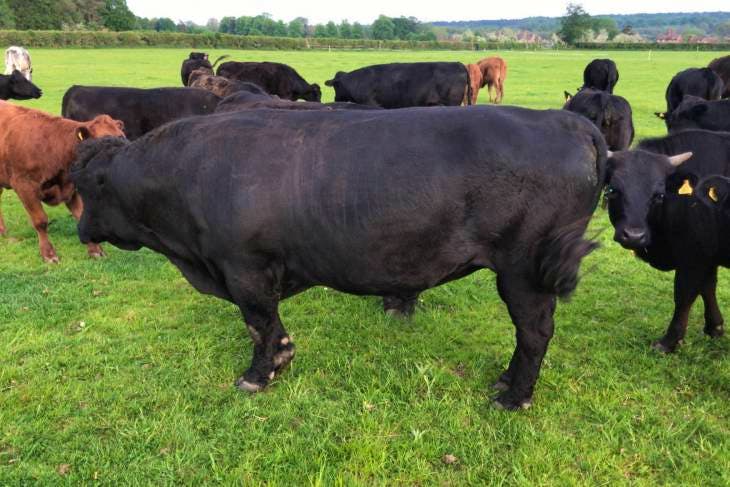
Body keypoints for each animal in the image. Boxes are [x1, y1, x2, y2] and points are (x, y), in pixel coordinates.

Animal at [0, 102, 124, 262]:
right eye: (102, 143)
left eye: (122, 138)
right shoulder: (24, 186)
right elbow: (40, 221)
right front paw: (48, 254)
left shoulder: (71, 188)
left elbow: (80, 216)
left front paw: (95, 250)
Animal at [70, 106, 606, 410]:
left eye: (86, 186)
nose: (80, 230)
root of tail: (566, 120)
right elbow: (269, 324)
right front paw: (282, 359)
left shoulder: (243, 268)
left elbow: (258, 323)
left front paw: (258, 375)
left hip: (526, 270)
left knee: (534, 332)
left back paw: (514, 397)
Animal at [604, 129, 730, 353]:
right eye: (612, 190)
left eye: (659, 195)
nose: (634, 235)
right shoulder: (707, 255)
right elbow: (708, 287)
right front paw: (714, 327)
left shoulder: (693, 256)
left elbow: (684, 295)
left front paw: (669, 341)